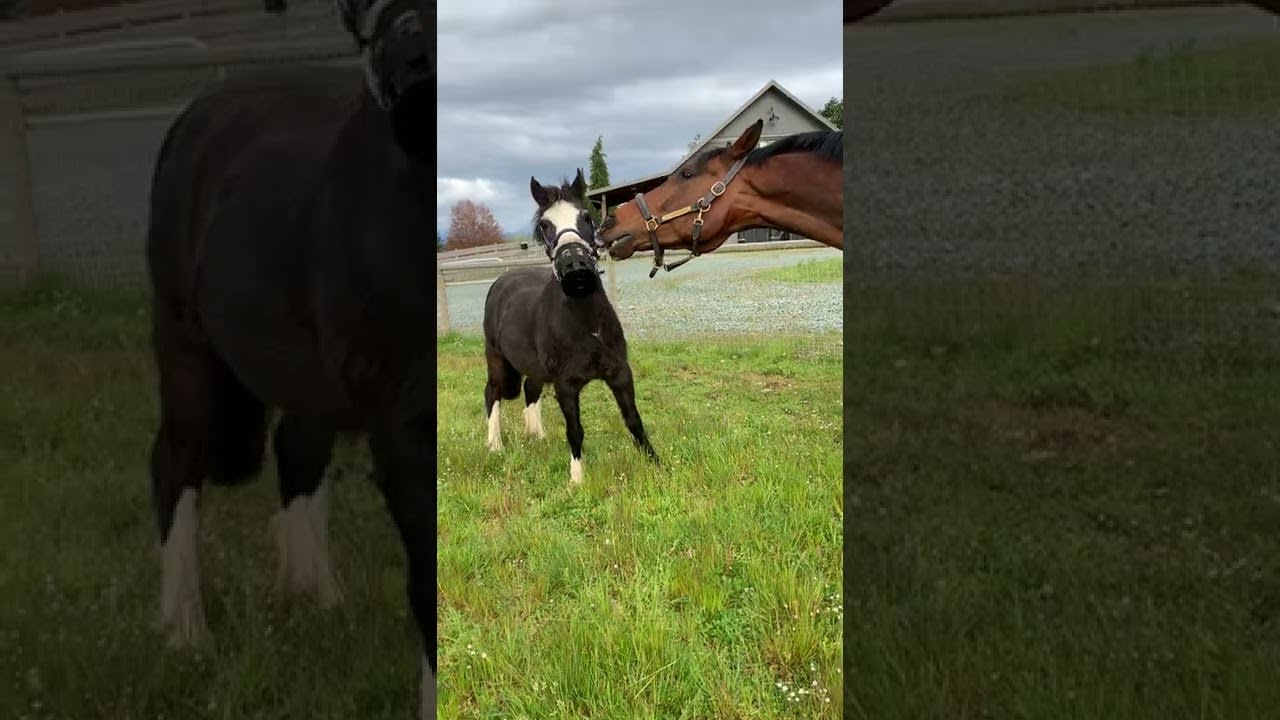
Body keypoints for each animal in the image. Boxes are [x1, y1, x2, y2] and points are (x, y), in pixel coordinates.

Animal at [144, 0, 435, 712]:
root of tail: (201, 111)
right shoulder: (407, 432)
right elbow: (427, 588)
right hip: (184, 343)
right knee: (176, 460)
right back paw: (185, 632)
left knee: (297, 448)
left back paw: (317, 597)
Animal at [481, 167, 660, 481]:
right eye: (544, 224)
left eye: (586, 217)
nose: (575, 268)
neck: (587, 323)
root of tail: (502, 281)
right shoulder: (565, 385)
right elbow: (575, 431)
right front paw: (576, 479)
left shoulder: (620, 373)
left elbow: (633, 420)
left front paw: (656, 463)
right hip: (496, 358)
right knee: (492, 393)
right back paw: (495, 446)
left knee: (530, 389)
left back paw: (538, 436)